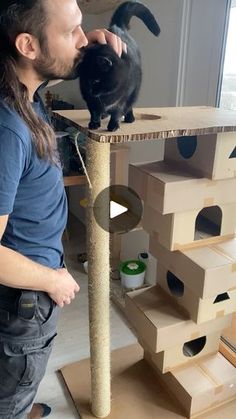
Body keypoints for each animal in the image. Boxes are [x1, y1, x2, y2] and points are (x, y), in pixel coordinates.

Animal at [77, 0, 160, 132]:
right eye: (83, 81)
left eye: (95, 81)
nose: (88, 90)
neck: (106, 95)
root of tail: (118, 26)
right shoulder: (91, 101)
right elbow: (94, 111)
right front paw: (94, 123)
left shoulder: (123, 99)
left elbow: (117, 112)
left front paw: (113, 125)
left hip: (134, 92)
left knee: (130, 106)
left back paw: (129, 118)